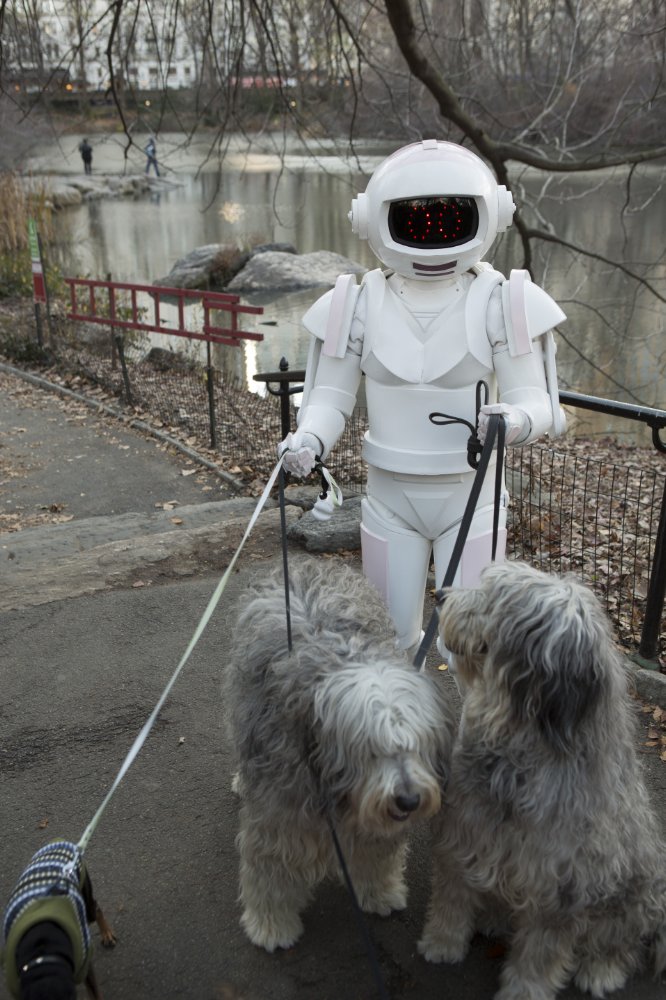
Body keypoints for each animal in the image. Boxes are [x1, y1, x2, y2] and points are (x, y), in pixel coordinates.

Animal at [223, 556, 452, 952]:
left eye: (415, 744)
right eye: (372, 749)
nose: (408, 800)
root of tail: (304, 564)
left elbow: (375, 855)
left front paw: (380, 893)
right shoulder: (279, 813)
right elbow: (271, 871)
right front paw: (271, 926)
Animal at [418, 564, 660, 1000]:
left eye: (495, 598)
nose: (441, 595)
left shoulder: (562, 883)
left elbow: (541, 951)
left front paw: (524, 989)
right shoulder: (464, 830)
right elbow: (452, 896)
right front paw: (442, 942)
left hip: (633, 886)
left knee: (621, 940)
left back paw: (602, 970)